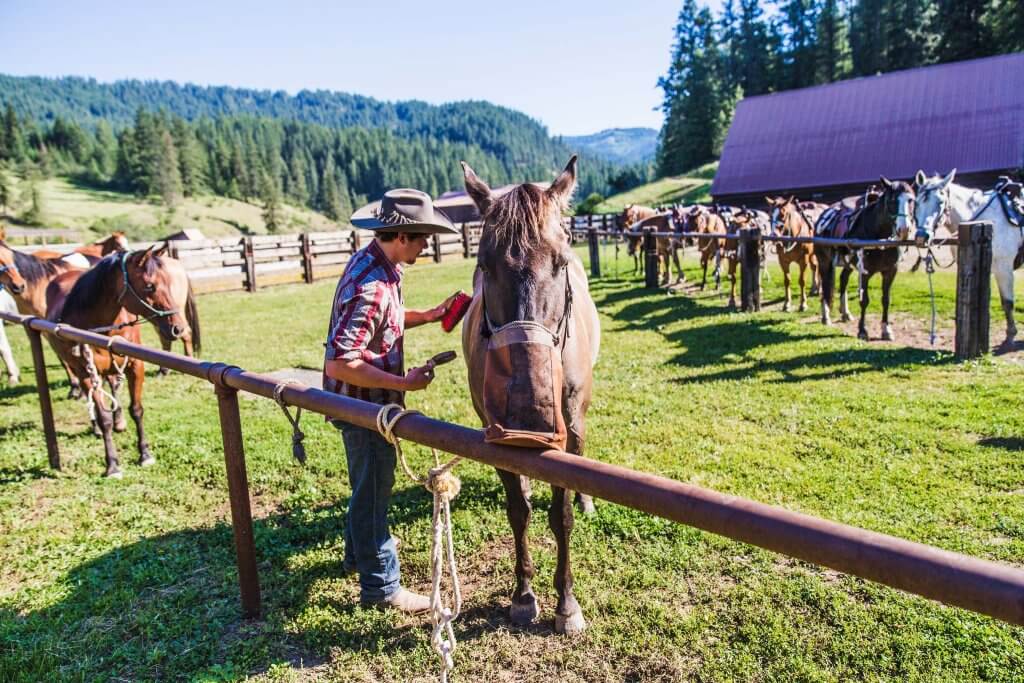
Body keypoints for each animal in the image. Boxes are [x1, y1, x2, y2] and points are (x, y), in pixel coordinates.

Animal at [45, 248, 192, 479]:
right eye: (149, 285)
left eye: (168, 281)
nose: (178, 328)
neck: (102, 329)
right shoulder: (87, 373)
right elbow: (103, 417)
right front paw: (112, 464)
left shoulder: (135, 365)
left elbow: (137, 410)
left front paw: (145, 454)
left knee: (114, 386)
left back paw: (120, 421)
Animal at [458, 154, 598, 634]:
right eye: (484, 263)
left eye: (561, 260)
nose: (525, 405)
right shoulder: (493, 433)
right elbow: (517, 511)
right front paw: (523, 595)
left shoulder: (568, 428)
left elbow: (562, 516)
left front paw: (567, 604)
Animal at [819, 178, 917, 339]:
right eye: (892, 200)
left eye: (912, 200)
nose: (904, 230)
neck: (879, 238)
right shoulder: (864, 272)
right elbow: (864, 300)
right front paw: (862, 330)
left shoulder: (890, 271)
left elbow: (886, 299)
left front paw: (886, 329)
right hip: (824, 262)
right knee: (826, 286)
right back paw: (826, 316)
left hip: (848, 264)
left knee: (843, 280)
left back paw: (845, 313)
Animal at [913, 171, 1024, 348]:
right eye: (916, 203)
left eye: (940, 202)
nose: (921, 237)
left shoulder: (1003, 269)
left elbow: (1007, 303)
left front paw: (1010, 336)